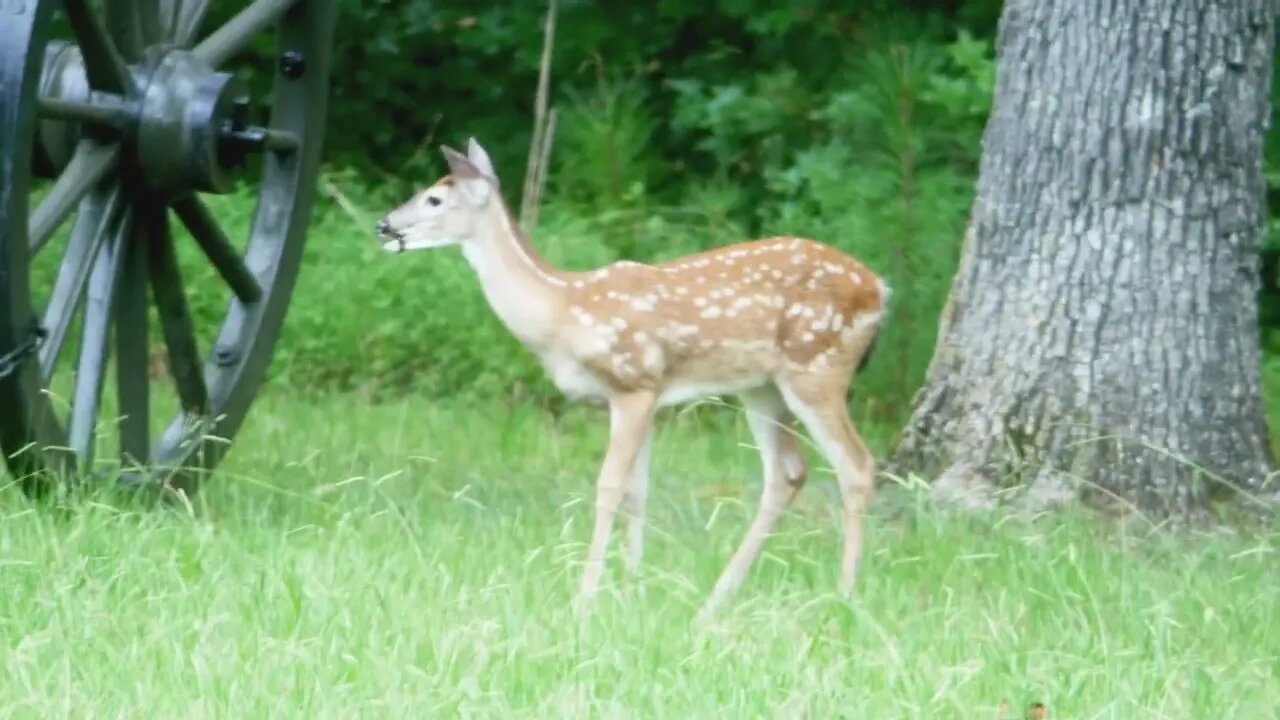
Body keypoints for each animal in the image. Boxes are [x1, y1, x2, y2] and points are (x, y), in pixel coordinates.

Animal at [371, 139, 890, 617]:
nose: (383, 225)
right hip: (760, 387)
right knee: (787, 473)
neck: (561, 312)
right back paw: (715, 602)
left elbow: (608, 488)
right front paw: (629, 592)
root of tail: (881, 290)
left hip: (817, 366)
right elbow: (638, 492)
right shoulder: (645, 396)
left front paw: (585, 599)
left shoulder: (633, 383)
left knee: (856, 465)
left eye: (434, 199)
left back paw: (844, 595)